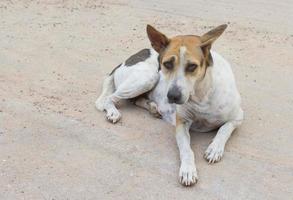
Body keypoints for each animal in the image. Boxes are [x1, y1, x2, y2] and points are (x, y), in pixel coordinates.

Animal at [95, 24, 242, 187]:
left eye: (192, 66)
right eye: (167, 64)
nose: (172, 96)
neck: (201, 95)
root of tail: (126, 60)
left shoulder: (238, 117)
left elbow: (224, 130)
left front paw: (215, 149)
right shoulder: (181, 122)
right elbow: (186, 150)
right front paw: (188, 170)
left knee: (135, 100)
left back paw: (153, 108)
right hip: (149, 76)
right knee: (109, 98)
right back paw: (113, 112)